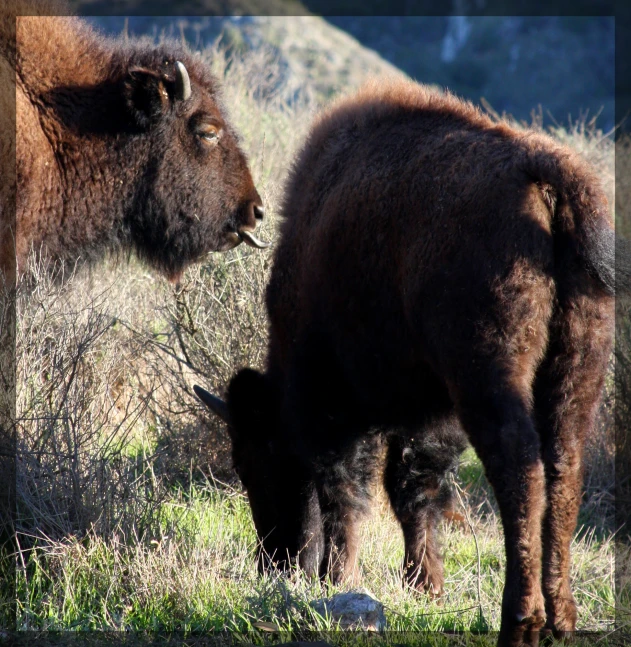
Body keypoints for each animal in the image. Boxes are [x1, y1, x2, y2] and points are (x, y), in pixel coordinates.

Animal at [195, 78, 616, 644]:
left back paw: (519, 619)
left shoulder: (335, 405)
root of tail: (543, 171)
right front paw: (424, 584)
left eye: (250, 460)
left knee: (519, 466)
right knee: (563, 467)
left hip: (488, 374)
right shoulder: (430, 413)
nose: (274, 563)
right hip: (575, 369)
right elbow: (412, 488)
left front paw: (339, 577)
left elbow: (348, 488)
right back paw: (561, 618)